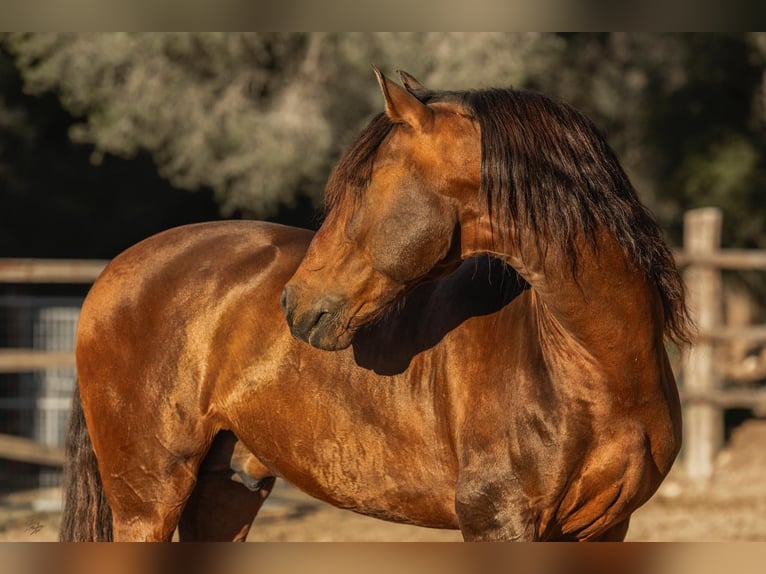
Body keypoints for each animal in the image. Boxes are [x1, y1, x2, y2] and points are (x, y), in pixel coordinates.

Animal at [61, 69, 690, 542]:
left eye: (364, 182)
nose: (295, 302)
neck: (593, 363)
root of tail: (115, 272)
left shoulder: (604, 529)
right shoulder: (499, 523)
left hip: (226, 489)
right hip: (147, 502)